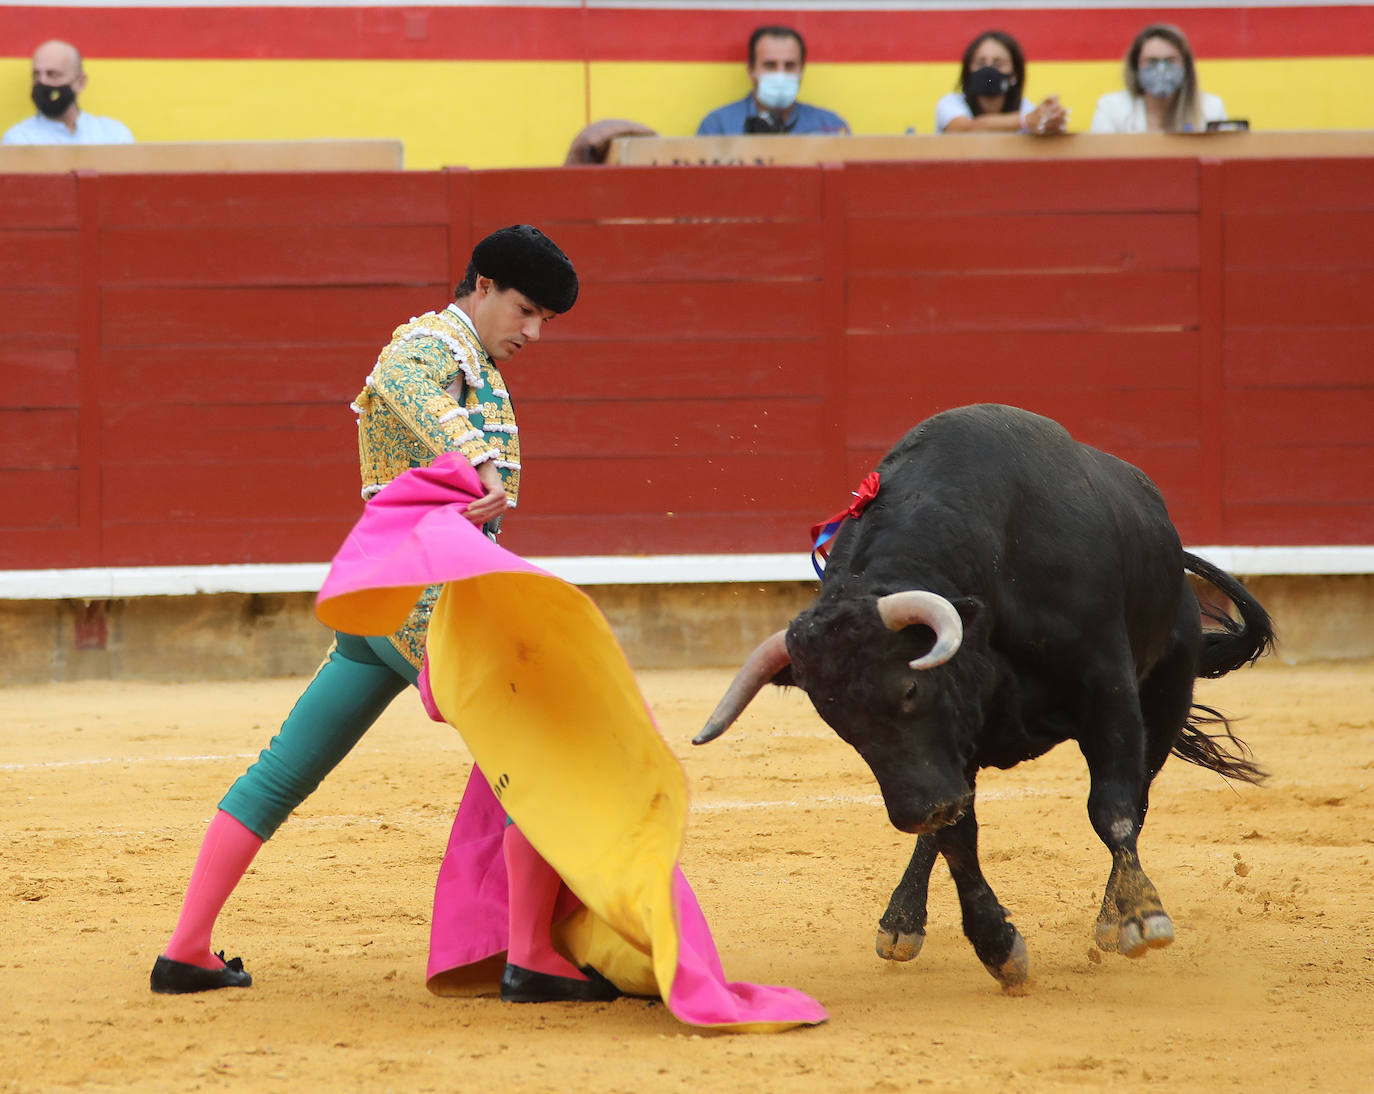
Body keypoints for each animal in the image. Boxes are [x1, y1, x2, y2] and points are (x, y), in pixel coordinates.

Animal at [697, 406, 1275, 989]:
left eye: (910, 688)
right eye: (838, 722)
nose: (915, 811)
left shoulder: (1108, 689)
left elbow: (1112, 807)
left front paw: (1137, 915)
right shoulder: (956, 738)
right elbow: (958, 837)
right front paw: (997, 945)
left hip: (1165, 693)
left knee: (1138, 796)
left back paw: (1112, 919)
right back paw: (902, 919)